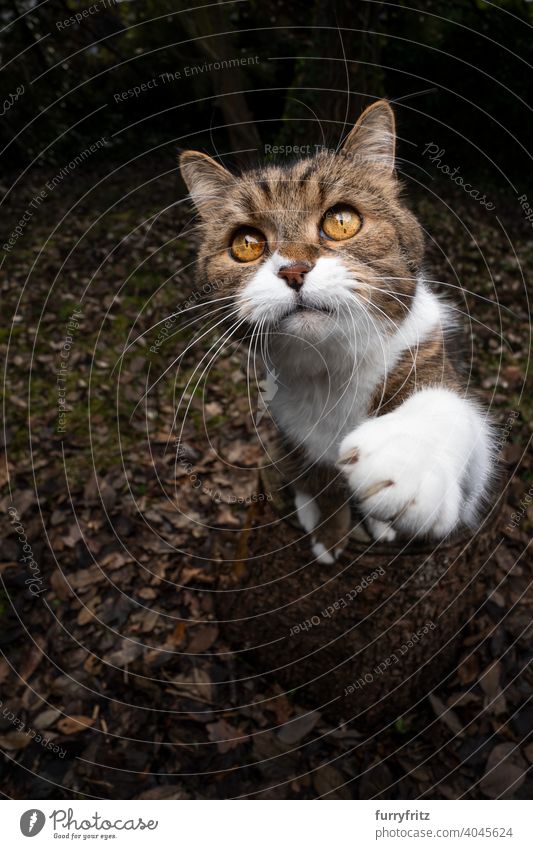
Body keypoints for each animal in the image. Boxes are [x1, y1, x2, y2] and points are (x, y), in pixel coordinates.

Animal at [180, 101, 494, 564]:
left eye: (342, 221)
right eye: (246, 243)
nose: (293, 269)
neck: (331, 368)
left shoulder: (424, 351)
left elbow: (450, 413)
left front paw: (407, 459)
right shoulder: (290, 425)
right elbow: (319, 476)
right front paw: (329, 530)